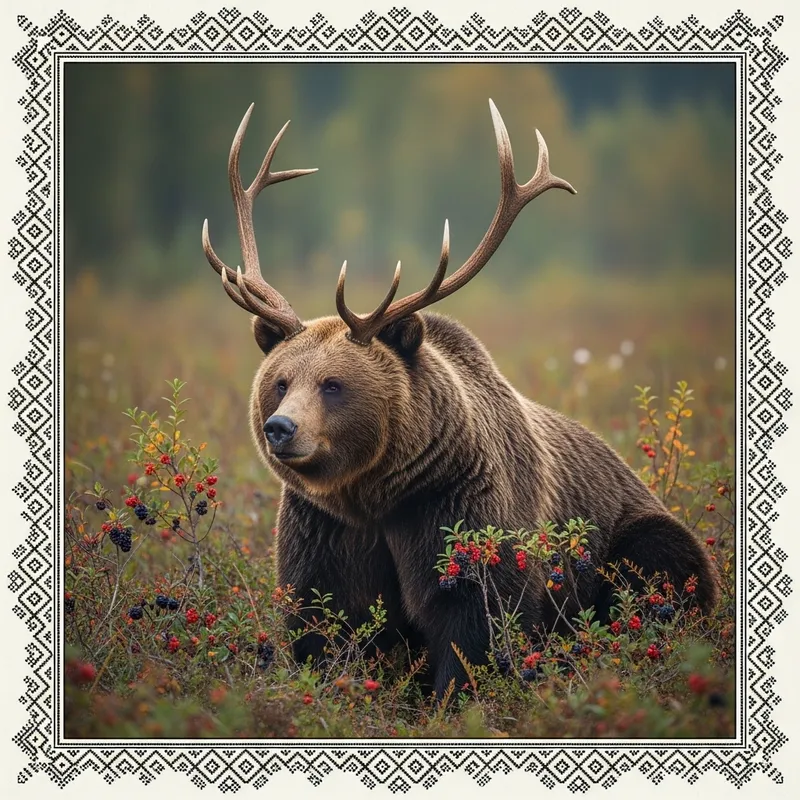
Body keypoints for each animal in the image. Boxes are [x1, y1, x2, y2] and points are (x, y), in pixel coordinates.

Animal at [202, 100, 720, 697]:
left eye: (333, 384)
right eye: (281, 381)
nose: (281, 429)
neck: (377, 493)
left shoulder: (460, 515)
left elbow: (475, 627)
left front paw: (456, 694)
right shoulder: (325, 533)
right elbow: (321, 627)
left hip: (634, 532)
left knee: (660, 567)